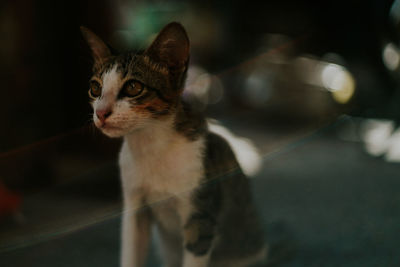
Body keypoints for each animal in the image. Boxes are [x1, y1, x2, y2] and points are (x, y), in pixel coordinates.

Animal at [81, 22, 268, 267]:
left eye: (133, 87)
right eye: (95, 88)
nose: (101, 113)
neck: (151, 147)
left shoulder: (200, 213)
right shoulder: (135, 205)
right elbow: (131, 251)